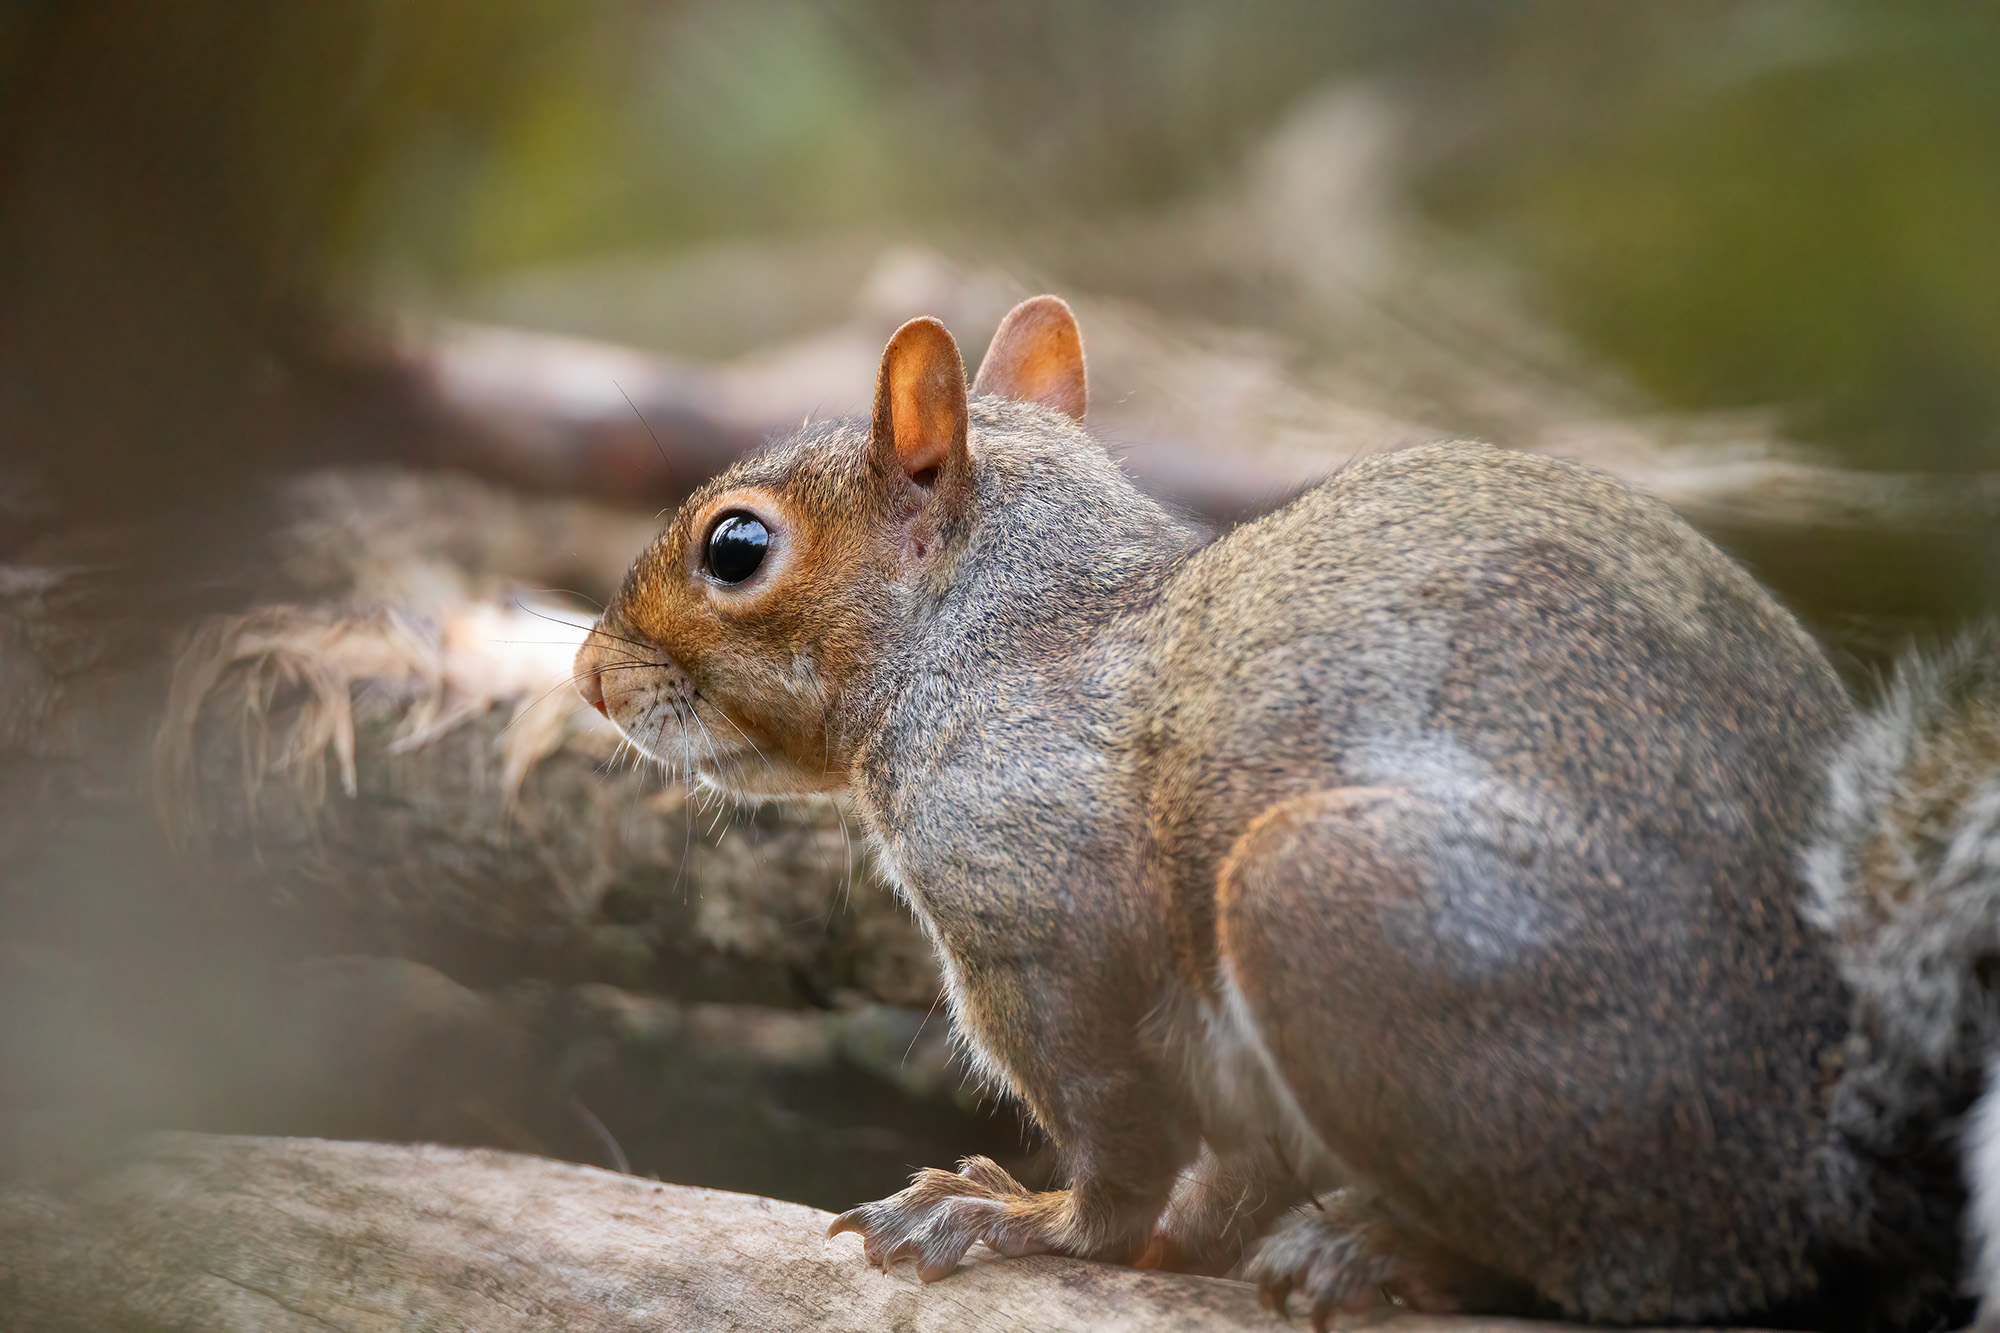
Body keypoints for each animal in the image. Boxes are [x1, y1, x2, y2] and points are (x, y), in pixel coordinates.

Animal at [575, 293, 1991, 1330]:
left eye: (737, 548)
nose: (588, 675)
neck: (993, 642)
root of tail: (1812, 1163)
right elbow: (1224, 1165)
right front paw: (1164, 1242)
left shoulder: (1047, 934)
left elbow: (1115, 1136)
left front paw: (1021, 1219)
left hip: (1334, 912)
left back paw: (1380, 1254)